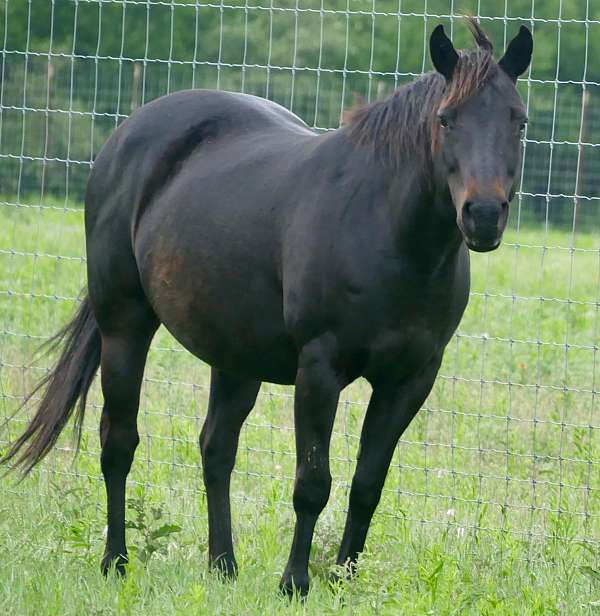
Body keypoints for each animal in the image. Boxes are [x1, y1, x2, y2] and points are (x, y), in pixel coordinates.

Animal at [2, 19, 532, 596]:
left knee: (216, 449)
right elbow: (313, 483)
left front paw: (342, 582)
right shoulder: (320, 369)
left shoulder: (411, 379)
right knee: (118, 442)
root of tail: (125, 136)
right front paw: (295, 582)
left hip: (235, 355)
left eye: (519, 120)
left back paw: (223, 565)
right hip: (124, 326)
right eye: (445, 119)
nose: (483, 215)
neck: (388, 232)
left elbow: (367, 484)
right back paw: (116, 562)